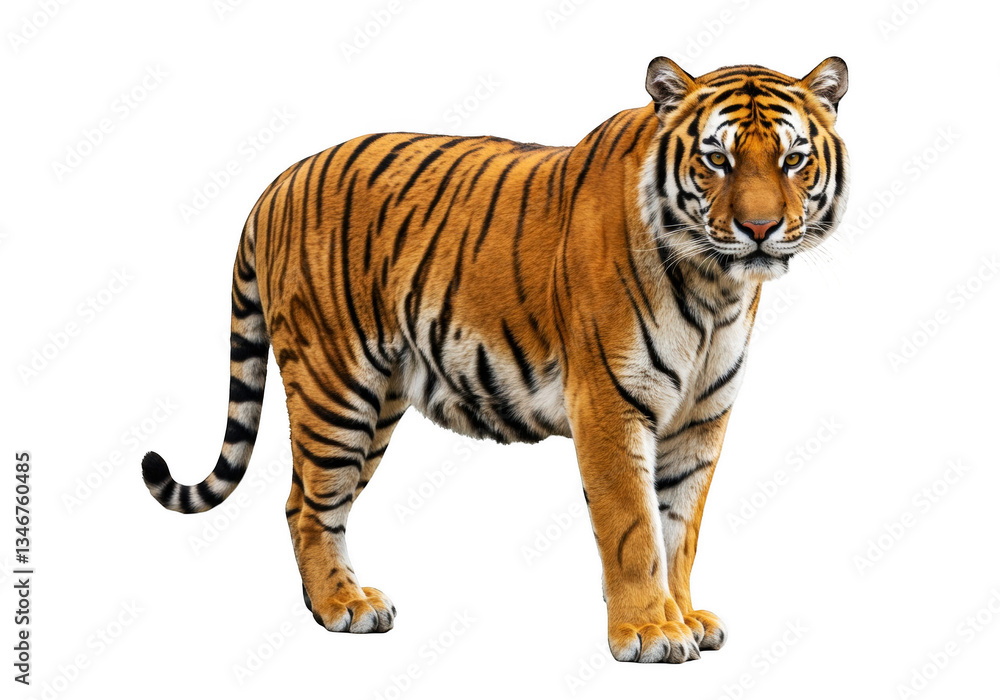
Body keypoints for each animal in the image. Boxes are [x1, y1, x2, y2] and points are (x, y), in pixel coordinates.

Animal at [142, 56, 849, 664]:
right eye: (716, 160)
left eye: (792, 159)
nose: (759, 230)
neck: (716, 288)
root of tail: (277, 182)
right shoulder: (609, 405)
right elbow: (633, 529)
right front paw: (650, 631)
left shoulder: (701, 419)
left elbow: (679, 530)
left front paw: (685, 616)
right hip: (335, 388)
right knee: (304, 505)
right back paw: (342, 606)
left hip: (379, 403)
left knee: (325, 504)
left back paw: (353, 596)